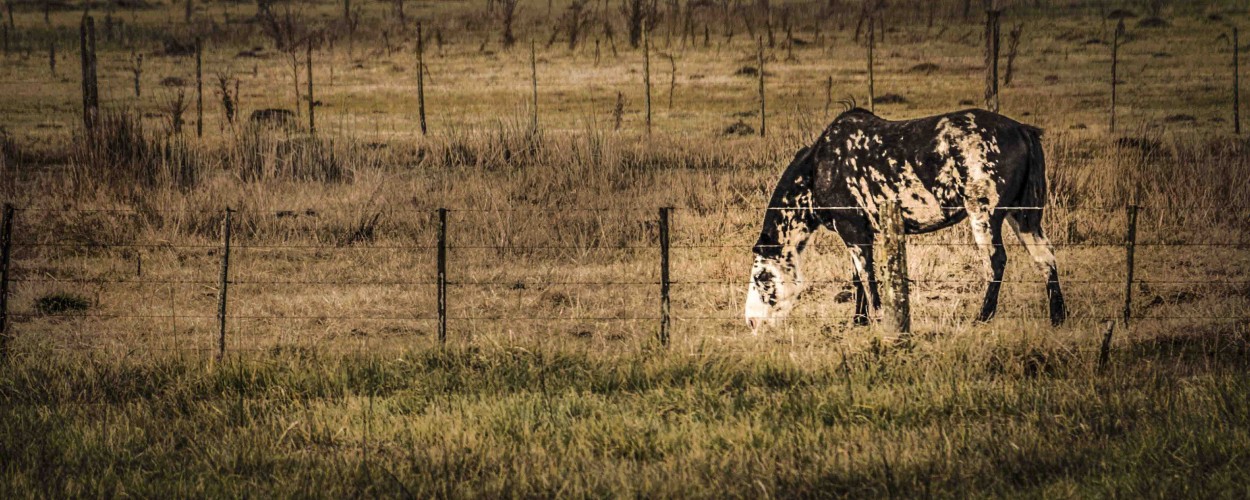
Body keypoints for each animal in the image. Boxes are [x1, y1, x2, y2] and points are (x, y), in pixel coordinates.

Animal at [740, 107, 1065, 330]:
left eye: (762, 278)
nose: (751, 321)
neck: (819, 167)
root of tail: (1022, 130)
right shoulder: (860, 232)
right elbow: (858, 277)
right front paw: (858, 320)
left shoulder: (852, 231)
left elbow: (867, 277)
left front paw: (877, 318)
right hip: (1023, 217)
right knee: (1045, 258)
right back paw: (1058, 316)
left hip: (984, 216)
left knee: (996, 261)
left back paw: (983, 316)